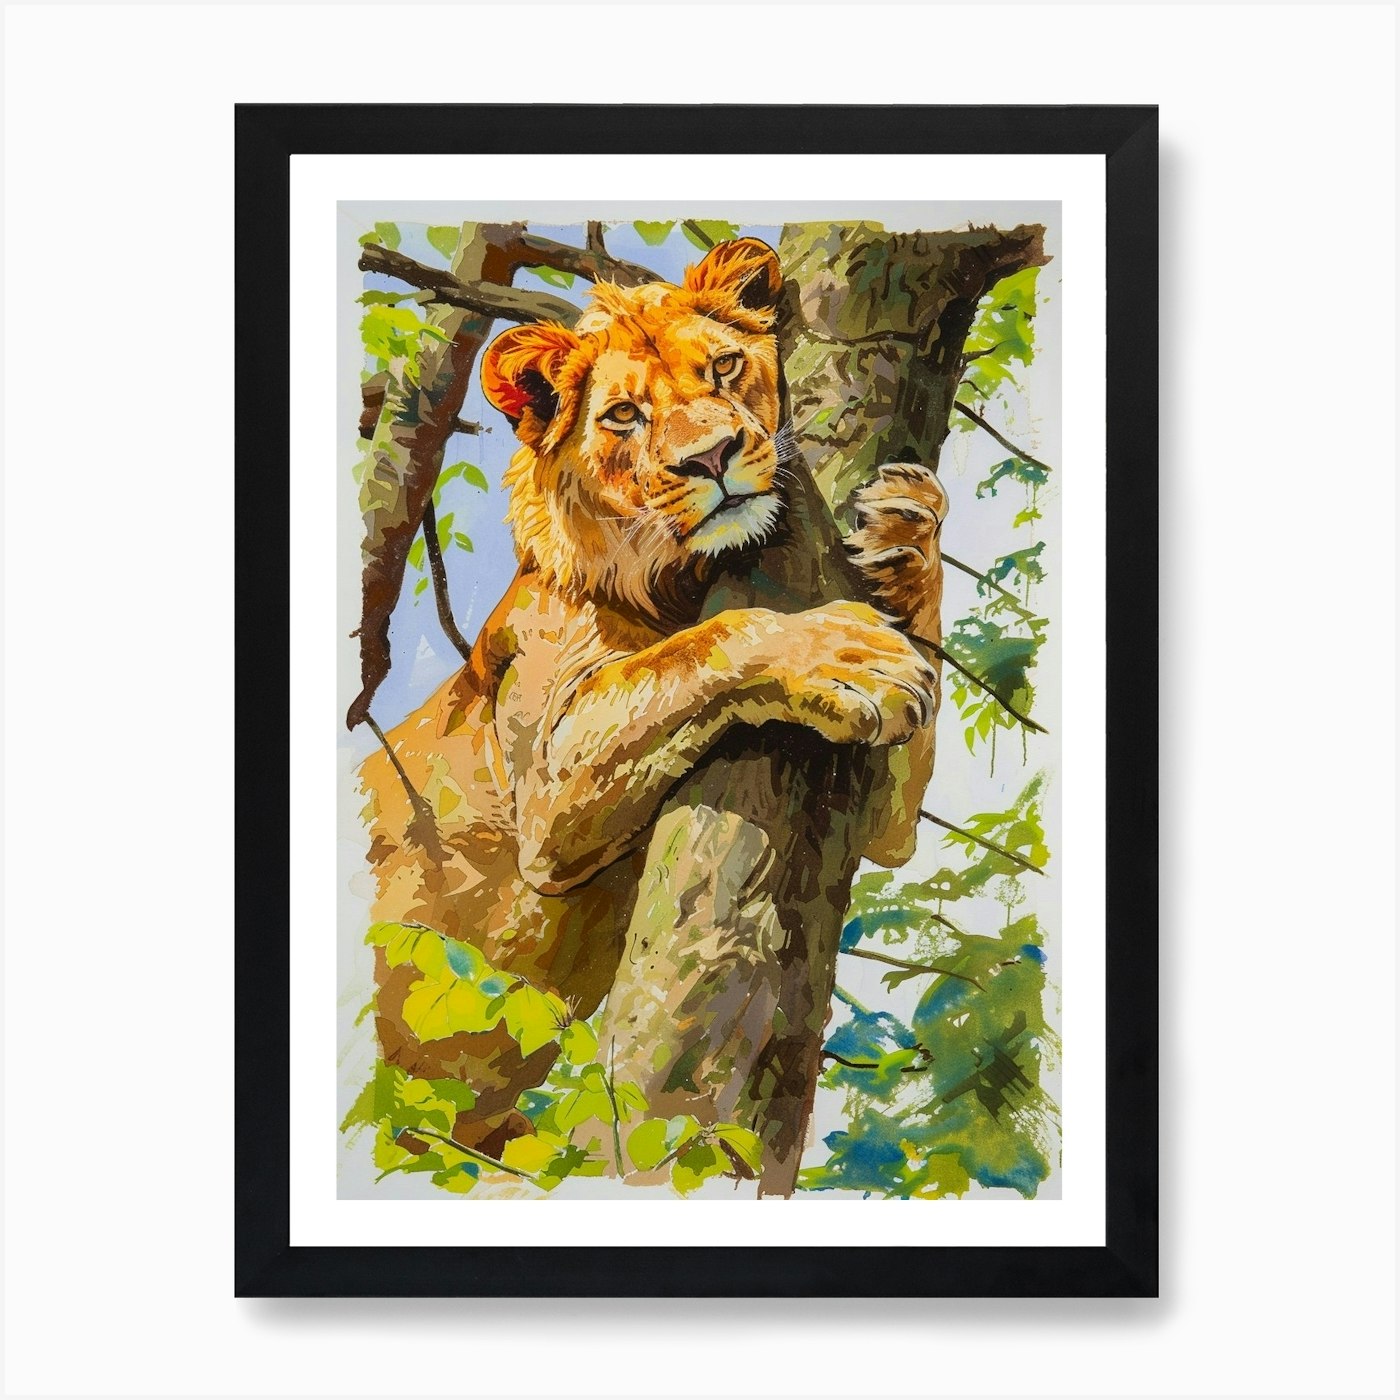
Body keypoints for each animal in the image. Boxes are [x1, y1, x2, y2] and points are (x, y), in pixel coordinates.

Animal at [359, 238, 948, 1153]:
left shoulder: (887, 820)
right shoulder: (548, 798)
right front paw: (843, 655)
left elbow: (897, 803)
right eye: (624, 416)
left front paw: (906, 527)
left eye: (725, 367)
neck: (675, 579)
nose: (710, 458)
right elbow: (704, 647)